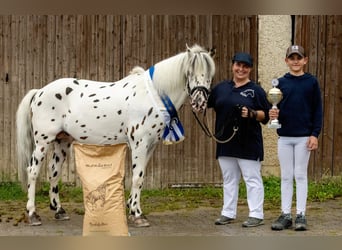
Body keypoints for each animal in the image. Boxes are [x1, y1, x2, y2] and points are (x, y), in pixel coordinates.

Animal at [16, 44, 215, 228]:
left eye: (210, 74)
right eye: (189, 72)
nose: (199, 102)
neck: (152, 95)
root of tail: (39, 92)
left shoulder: (150, 146)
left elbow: (140, 177)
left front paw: (132, 208)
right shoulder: (139, 144)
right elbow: (137, 177)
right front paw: (137, 215)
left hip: (61, 141)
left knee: (54, 172)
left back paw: (59, 210)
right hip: (43, 141)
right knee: (33, 171)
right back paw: (33, 214)